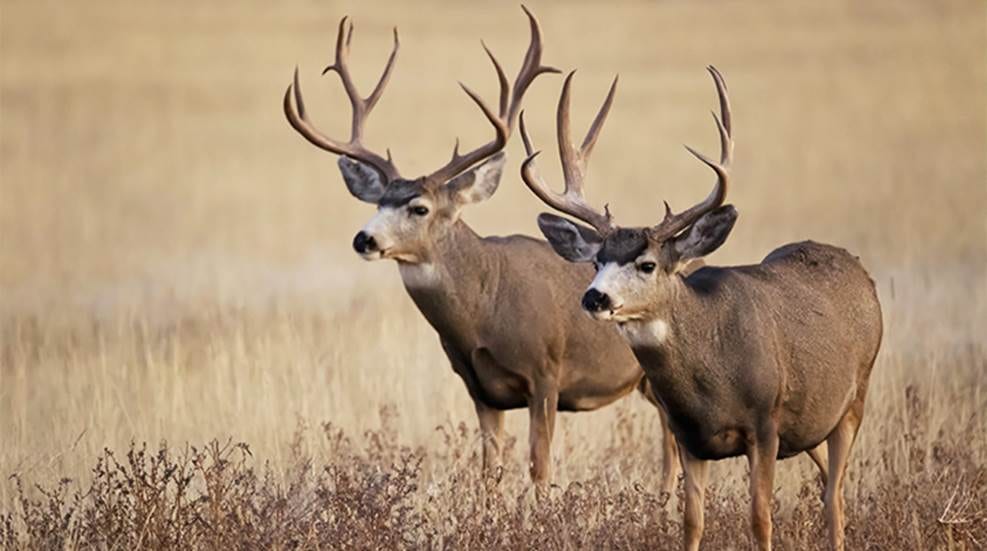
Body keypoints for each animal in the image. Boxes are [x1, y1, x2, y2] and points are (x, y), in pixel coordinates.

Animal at [282, 7, 680, 493]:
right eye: (377, 202)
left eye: (419, 207)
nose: (365, 239)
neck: (484, 308)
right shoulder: (480, 388)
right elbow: (489, 472)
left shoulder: (546, 373)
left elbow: (540, 468)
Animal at [519, 66, 882, 550]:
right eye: (596, 262)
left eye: (647, 264)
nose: (595, 297)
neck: (711, 376)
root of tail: (860, 271)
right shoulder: (687, 435)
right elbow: (692, 520)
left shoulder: (765, 424)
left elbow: (760, 518)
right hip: (813, 422)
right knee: (828, 486)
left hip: (855, 396)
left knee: (835, 497)